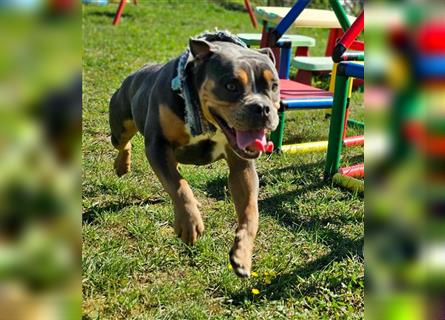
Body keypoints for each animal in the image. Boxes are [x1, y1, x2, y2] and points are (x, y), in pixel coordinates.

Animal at [108, 31, 278, 278]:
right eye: (231, 85)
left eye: (274, 86)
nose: (262, 108)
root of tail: (137, 73)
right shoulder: (157, 145)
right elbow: (179, 186)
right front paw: (189, 223)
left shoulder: (241, 166)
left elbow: (250, 212)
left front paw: (243, 257)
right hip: (120, 127)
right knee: (123, 143)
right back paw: (122, 165)